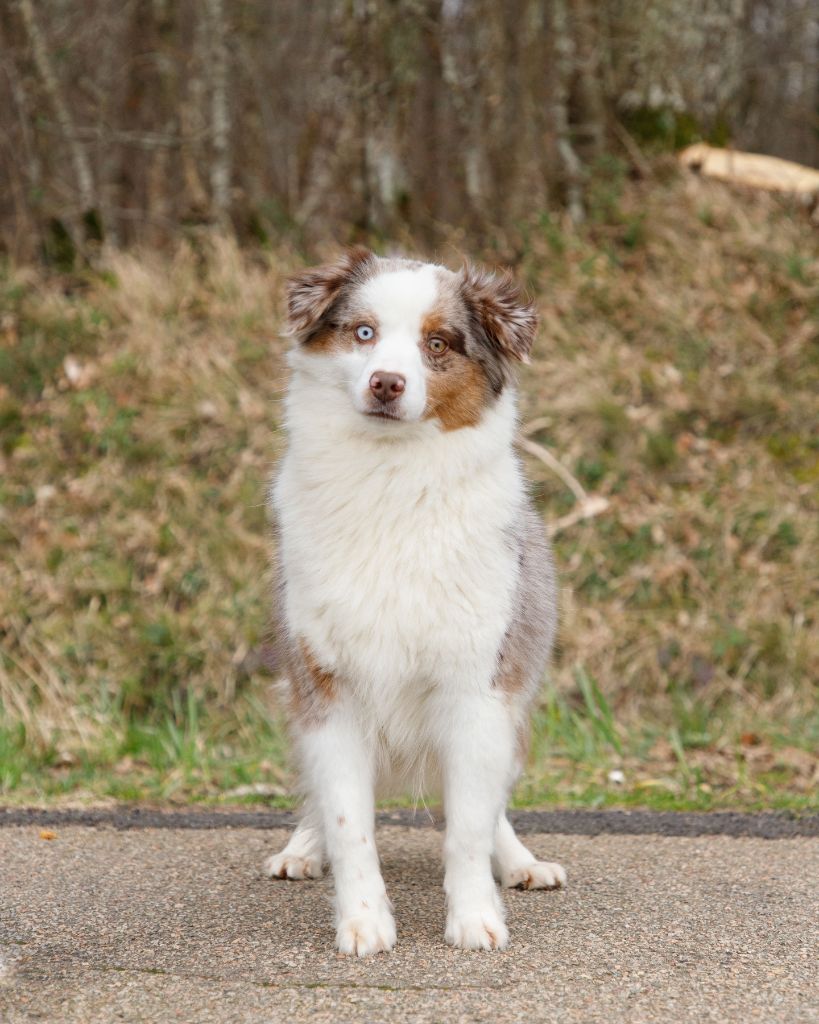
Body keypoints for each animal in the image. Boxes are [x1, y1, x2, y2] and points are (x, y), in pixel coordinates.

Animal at [263, 248, 566, 955]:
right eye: (363, 332)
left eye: (437, 344)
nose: (386, 384)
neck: (391, 482)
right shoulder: (328, 686)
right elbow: (349, 822)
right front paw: (362, 921)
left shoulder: (478, 687)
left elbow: (468, 827)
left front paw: (475, 918)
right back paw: (301, 848)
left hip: (513, 712)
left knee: (491, 808)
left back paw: (520, 863)